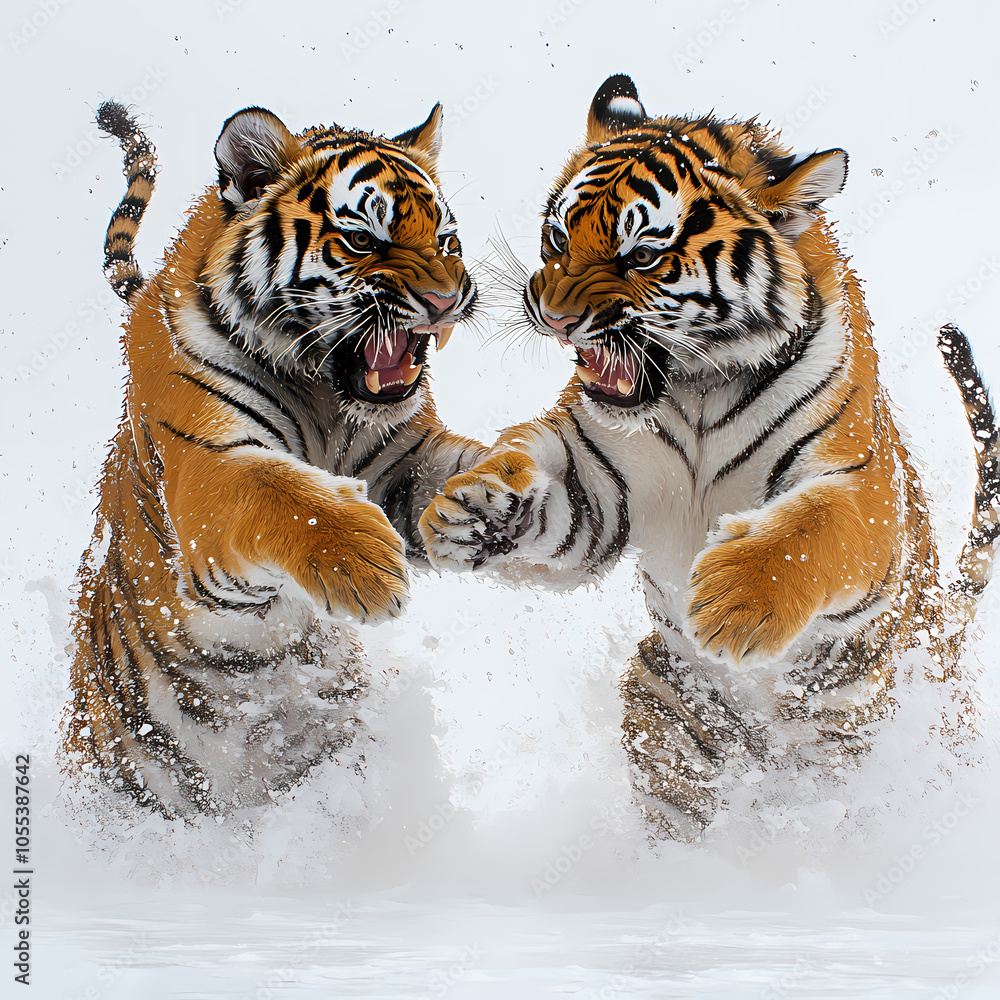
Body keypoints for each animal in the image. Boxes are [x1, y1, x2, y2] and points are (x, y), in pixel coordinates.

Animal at [62, 99, 484, 818]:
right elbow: (276, 491)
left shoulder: (400, 467)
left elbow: (473, 468)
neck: (323, 393)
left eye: (447, 240)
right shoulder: (207, 467)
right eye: (365, 240)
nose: (447, 301)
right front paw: (365, 565)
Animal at [419, 75, 1000, 839]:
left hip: (862, 735)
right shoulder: (599, 484)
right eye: (557, 236)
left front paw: (734, 602)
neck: (698, 386)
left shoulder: (856, 484)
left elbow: (810, 531)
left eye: (641, 255)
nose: (555, 318)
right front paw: (469, 513)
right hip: (666, 707)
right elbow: (549, 498)